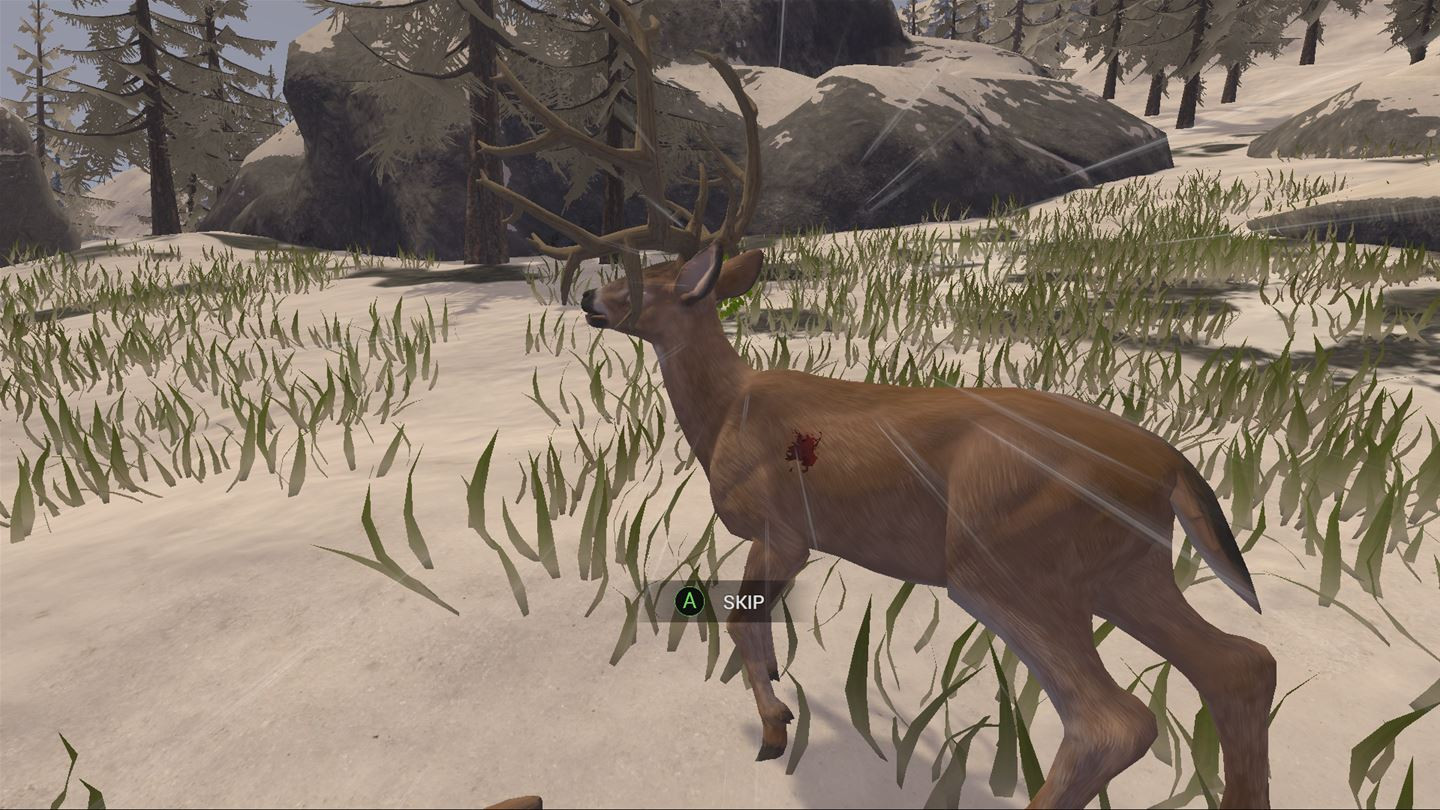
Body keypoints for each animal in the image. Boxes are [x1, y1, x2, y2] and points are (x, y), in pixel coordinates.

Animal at [474, 2, 1277, 807]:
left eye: (650, 282)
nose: (589, 299)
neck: (727, 411)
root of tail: (1170, 464)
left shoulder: (781, 526)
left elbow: (740, 623)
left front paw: (775, 729)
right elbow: (755, 627)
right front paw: (780, 709)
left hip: (1007, 559)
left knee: (1115, 720)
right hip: (1127, 569)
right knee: (1243, 664)